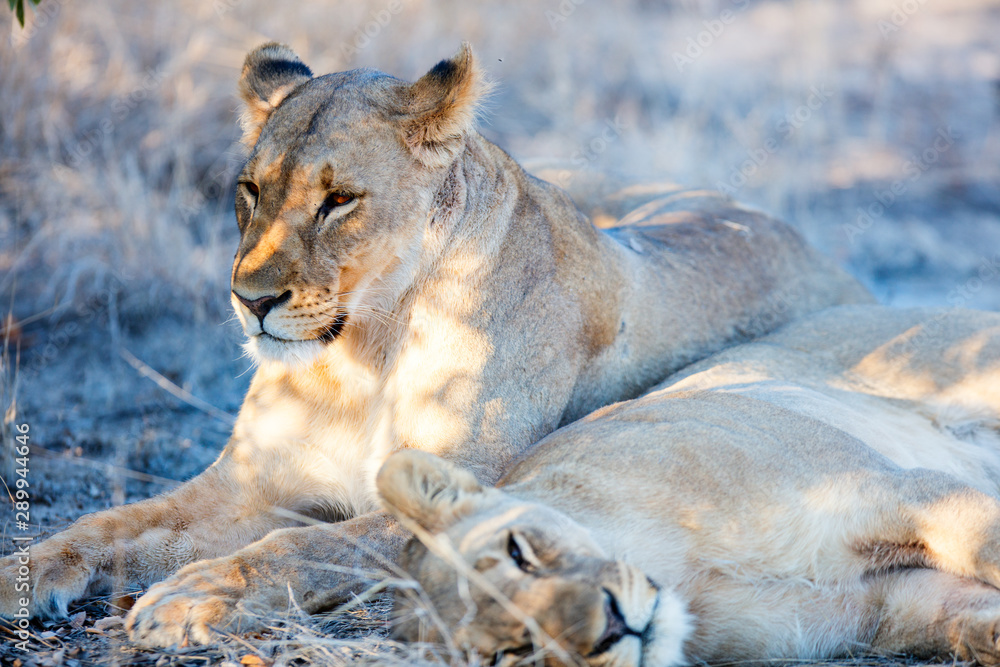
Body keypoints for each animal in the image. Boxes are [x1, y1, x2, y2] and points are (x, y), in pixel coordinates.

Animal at [0, 43, 870, 647]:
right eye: (249, 190)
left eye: (339, 200)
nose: (250, 301)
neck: (360, 351)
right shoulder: (241, 484)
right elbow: (104, 525)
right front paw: (21, 573)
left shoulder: (456, 494)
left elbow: (303, 545)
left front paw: (196, 591)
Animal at [379, 304, 1000, 666]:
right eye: (510, 653)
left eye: (519, 552)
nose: (610, 628)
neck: (681, 573)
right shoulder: (881, 606)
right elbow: (960, 615)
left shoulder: (890, 489)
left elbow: (986, 547)